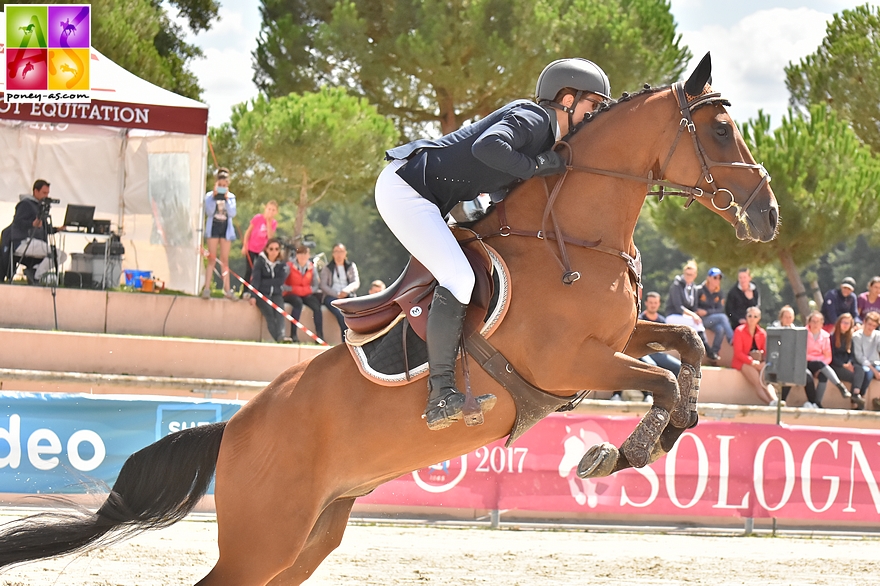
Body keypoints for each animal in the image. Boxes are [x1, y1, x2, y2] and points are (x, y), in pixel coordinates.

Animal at [0, 53, 776, 580]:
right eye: (722, 129)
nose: (767, 215)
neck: (573, 237)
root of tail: (234, 429)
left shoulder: (616, 338)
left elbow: (688, 345)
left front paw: (668, 432)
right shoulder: (571, 361)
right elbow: (663, 376)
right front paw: (619, 453)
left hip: (309, 538)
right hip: (266, 537)